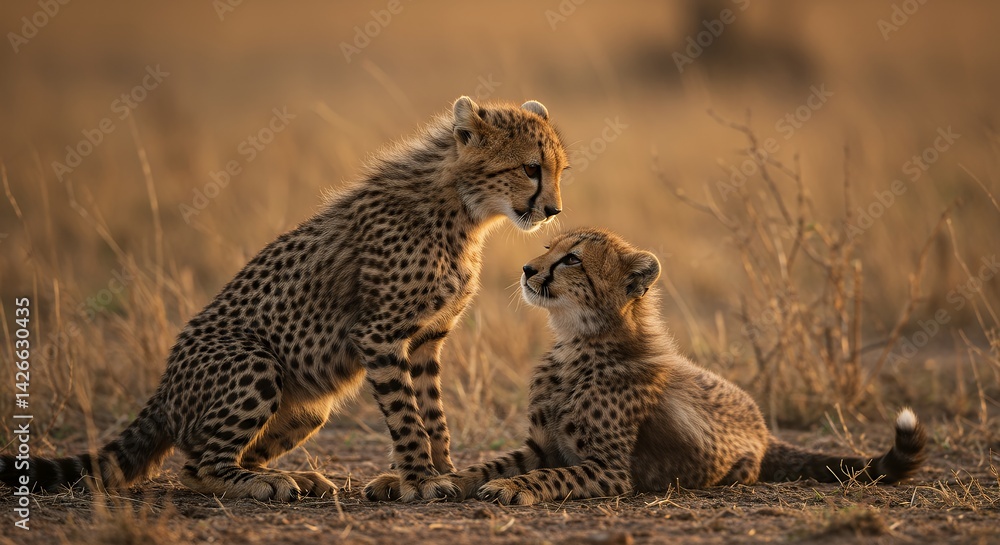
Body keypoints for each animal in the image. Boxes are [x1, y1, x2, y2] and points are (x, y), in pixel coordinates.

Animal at [0, 96, 569, 503]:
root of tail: (163, 389)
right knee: (196, 467)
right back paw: (261, 483)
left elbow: (433, 413)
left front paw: (443, 471)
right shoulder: (380, 335)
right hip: (255, 362)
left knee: (224, 455)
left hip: (310, 408)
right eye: (530, 169)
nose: (554, 210)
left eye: (559, 170)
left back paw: (299, 477)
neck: (464, 209)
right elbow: (406, 414)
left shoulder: (426, 339)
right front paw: (421, 478)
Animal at [452, 227, 926, 505]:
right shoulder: (541, 445)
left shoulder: (611, 470)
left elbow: (547, 477)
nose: (527, 269)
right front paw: (451, 480)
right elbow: (493, 462)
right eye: (548, 247)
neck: (577, 343)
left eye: (573, 259)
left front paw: (511, 487)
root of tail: (762, 425)